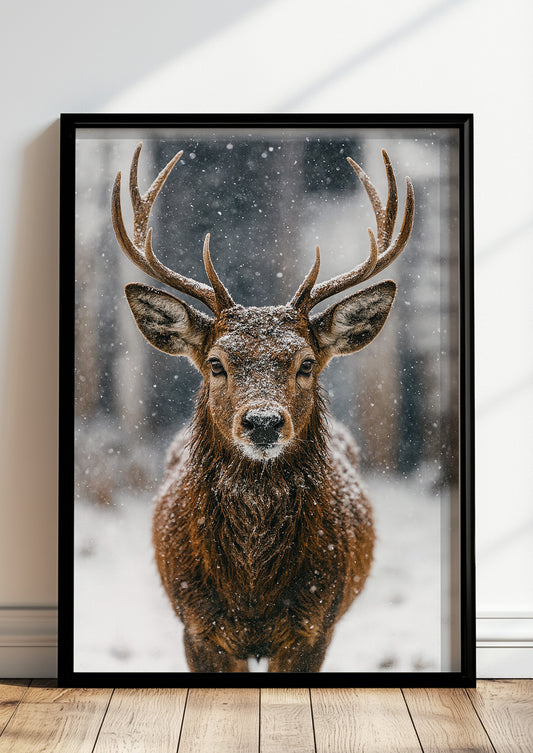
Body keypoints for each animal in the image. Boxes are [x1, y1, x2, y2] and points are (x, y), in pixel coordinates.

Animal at [111, 142, 414, 672]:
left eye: (306, 362)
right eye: (216, 362)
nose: (263, 422)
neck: (252, 592)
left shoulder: (314, 625)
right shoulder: (198, 626)